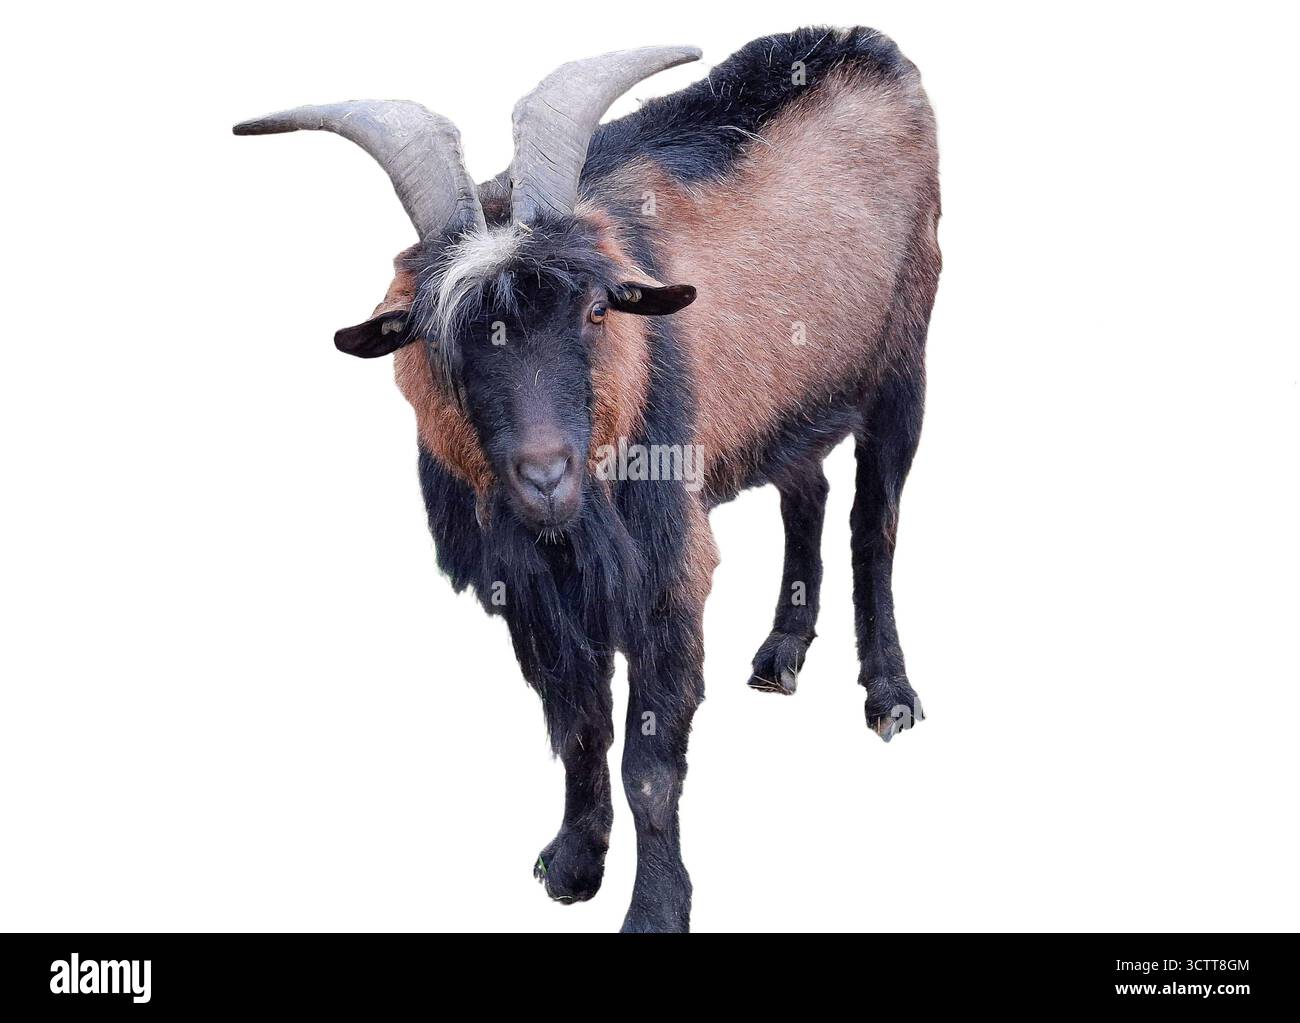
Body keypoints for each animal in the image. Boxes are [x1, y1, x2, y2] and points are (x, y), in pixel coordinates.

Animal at [235, 25, 941, 933]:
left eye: (598, 308)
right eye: (438, 334)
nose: (546, 476)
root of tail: (873, 44)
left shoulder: (666, 567)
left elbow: (650, 762)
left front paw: (657, 909)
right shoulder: (530, 590)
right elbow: (575, 727)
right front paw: (572, 862)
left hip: (902, 361)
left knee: (873, 523)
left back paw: (889, 694)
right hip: (789, 399)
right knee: (806, 491)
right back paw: (780, 653)